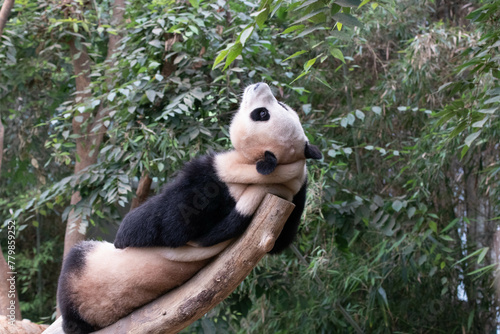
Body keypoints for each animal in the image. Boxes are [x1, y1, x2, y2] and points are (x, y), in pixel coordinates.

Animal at [56, 81, 322, 334]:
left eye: (262, 114)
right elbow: (281, 241)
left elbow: (163, 224)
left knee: (76, 262)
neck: (267, 176)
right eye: (280, 106)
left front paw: (125, 232)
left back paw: (72, 322)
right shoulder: (289, 195)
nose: (260, 84)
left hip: (95, 283)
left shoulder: (214, 181)